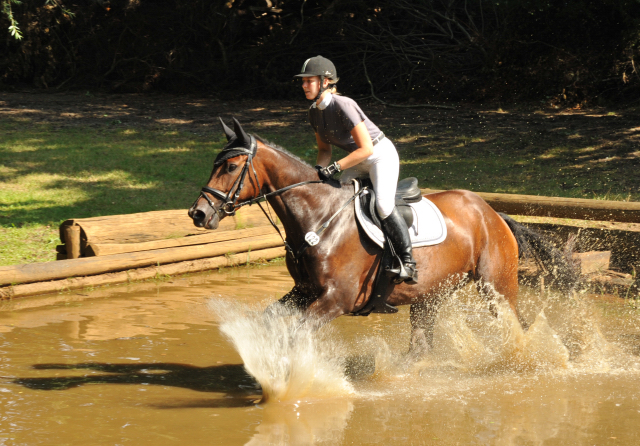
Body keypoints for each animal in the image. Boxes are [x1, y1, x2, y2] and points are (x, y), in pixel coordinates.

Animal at [189, 119, 576, 356]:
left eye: (231, 167)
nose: (198, 213)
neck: (319, 218)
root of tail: (493, 214)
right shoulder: (304, 292)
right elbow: (270, 321)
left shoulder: (336, 299)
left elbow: (297, 335)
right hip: (430, 295)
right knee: (421, 345)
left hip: (495, 286)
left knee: (517, 326)